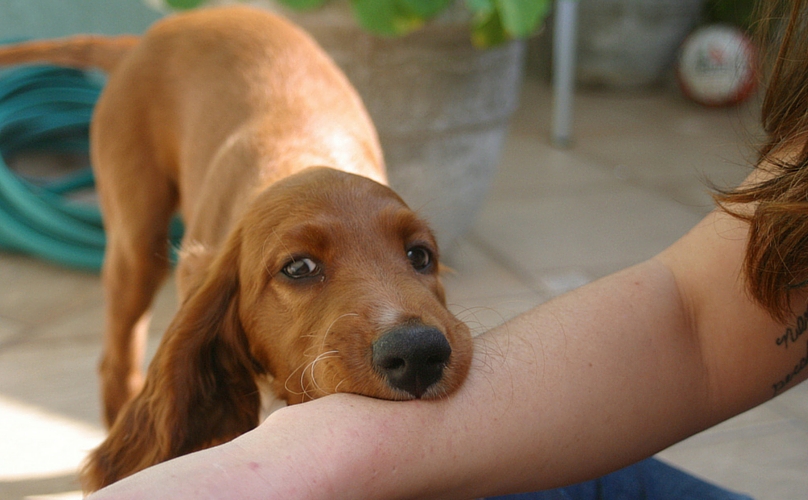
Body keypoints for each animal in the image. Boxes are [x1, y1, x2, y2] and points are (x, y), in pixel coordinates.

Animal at [0, 5, 474, 492]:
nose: (419, 353)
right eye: (299, 268)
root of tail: (154, 33)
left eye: (420, 256)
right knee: (116, 361)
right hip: (135, 245)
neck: (302, 159)